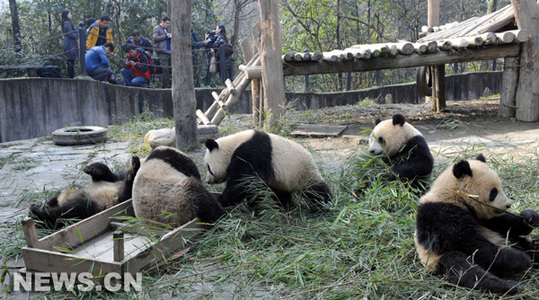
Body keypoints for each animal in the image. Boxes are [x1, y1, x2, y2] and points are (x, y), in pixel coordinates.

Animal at [202, 129, 330, 209]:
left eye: (209, 167)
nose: (208, 181)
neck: (232, 146)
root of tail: (312, 159)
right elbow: (252, 187)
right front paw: (255, 205)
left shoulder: (250, 153)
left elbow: (242, 182)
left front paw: (221, 200)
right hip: (283, 179)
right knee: (281, 192)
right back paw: (283, 205)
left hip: (302, 172)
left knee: (316, 190)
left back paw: (325, 204)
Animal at [416, 156, 536, 294]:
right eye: (494, 192)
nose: (508, 205)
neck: (454, 194)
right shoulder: (441, 214)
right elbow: (471, 244)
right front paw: (520, 259)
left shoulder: (484, 217)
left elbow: (504, 223)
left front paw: (530, 217)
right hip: (435, 259)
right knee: (464, 269)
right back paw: (507, 285)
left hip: (510, 240)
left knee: (523, 244)